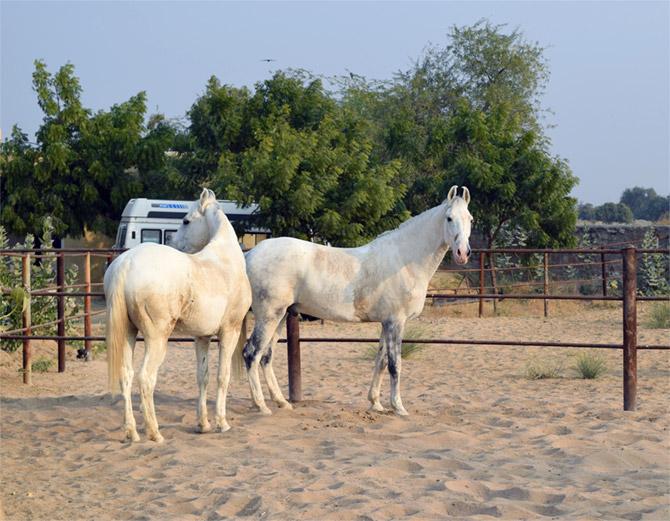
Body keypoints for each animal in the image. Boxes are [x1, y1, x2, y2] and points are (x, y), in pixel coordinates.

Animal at [105, 189, 252, 440]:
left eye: (186, 221)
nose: (175, 244)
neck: (224, 261)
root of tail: (126, 262)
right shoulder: (229, 331)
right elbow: (222, 376)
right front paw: (222, 423)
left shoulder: (202, 337)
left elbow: (203, 376)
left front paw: (203, 424)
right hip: (157, 338)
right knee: (146, 378)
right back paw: (154, 433)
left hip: (128, 333)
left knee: (126, 375)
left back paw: (132, 432)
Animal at [176, 185, 476, 416]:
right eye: (449, 218)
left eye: (470, 218)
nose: (463, 253)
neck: (404, 258)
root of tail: (250, 254)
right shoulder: (396, 322)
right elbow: (394, 364)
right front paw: (398, 407)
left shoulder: (386, 323)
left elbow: (380, 361)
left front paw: (376, 403)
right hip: (269, 315)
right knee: (252, 353)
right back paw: (262, 406)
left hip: (280, 316)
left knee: (266, 357)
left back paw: (281, 402)